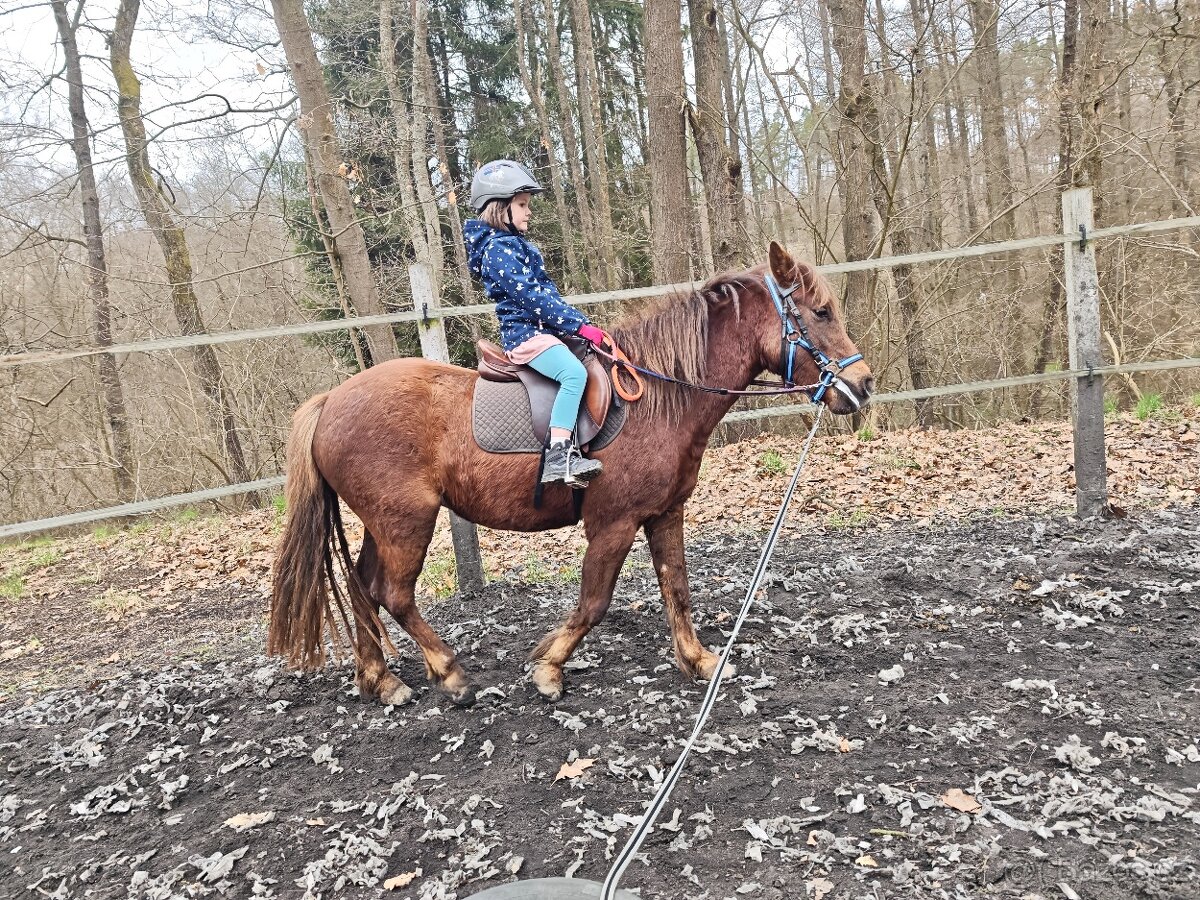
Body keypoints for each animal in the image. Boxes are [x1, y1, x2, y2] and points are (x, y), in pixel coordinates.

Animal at [268, 242, 874, 706]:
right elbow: (594, 602)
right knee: (393, 594)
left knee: (362, 587)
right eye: (820, 313)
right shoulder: (614, 522)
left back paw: (381, 679)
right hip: (406, 522)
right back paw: (449, 672)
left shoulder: (663, 513)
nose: (863, 383)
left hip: (384, 523)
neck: (662, 397)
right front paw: (548, 667)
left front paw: (700, 660)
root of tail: (331, 400)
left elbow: (676, 586)